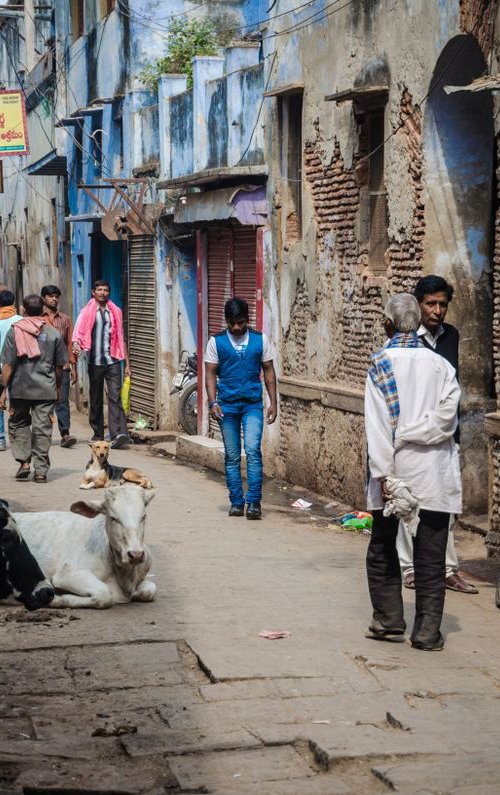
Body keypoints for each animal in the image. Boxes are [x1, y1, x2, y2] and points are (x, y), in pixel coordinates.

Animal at [12, 486, 156, 608]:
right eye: (113, 518)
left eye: (143, 517)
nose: (136, 555)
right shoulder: (66, 573)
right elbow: (104, 594)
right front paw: (57, 600)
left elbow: (150, 590)